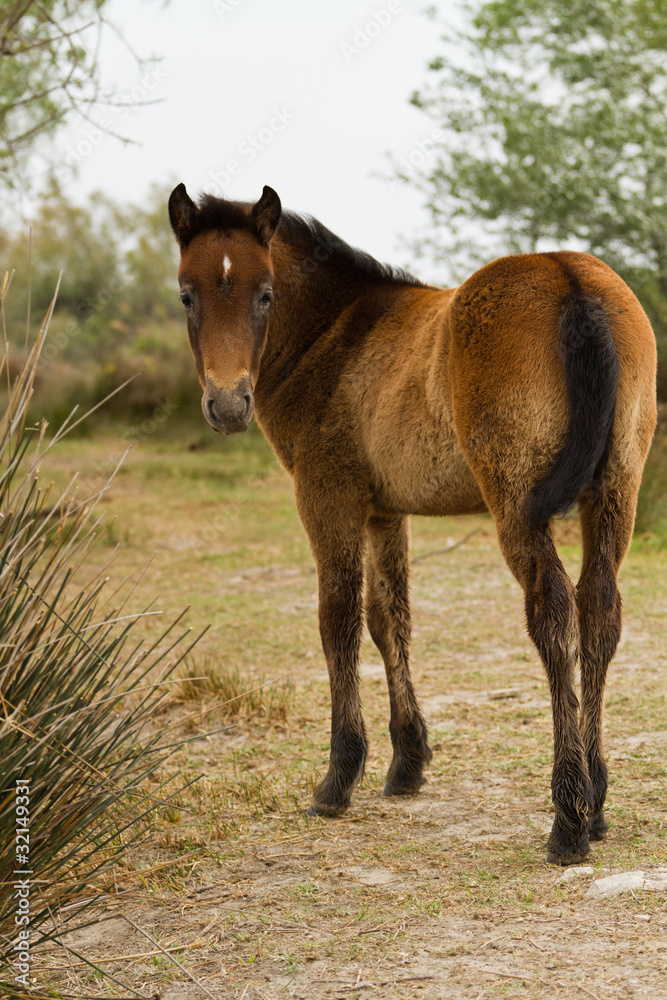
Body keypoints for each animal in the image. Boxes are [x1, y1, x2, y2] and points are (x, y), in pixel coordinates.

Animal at [168, 183, 657, 865]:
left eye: (265, 293)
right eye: (187, 295)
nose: (228, 404)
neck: (336, 334)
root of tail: (572, 279)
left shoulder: (328, 495)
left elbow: (339, 619)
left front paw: (338, 779)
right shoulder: (384, 510)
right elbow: (388, 619)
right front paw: (408, 762)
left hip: (517, 503)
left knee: (553, 614)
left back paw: (568, 818)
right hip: (615, 491)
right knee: (600, 612)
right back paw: (599, 798)